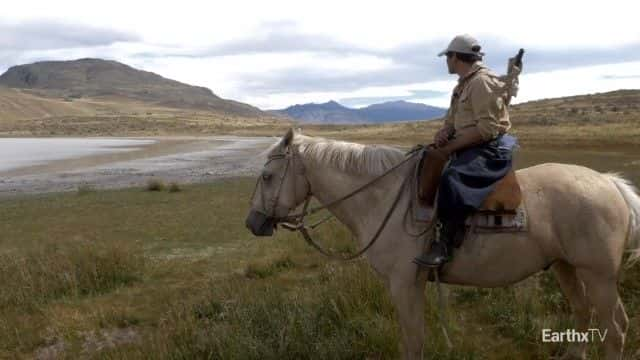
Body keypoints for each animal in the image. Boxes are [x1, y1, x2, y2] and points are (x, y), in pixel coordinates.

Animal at [245, 129, 640, 360]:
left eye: (268, 175)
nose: (253, 223)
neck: (385, 196)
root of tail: (608, 182)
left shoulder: (404, 284)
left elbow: (413, 340)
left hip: (598, 275)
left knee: (615, 329)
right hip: (565, 266)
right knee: (584, 314)